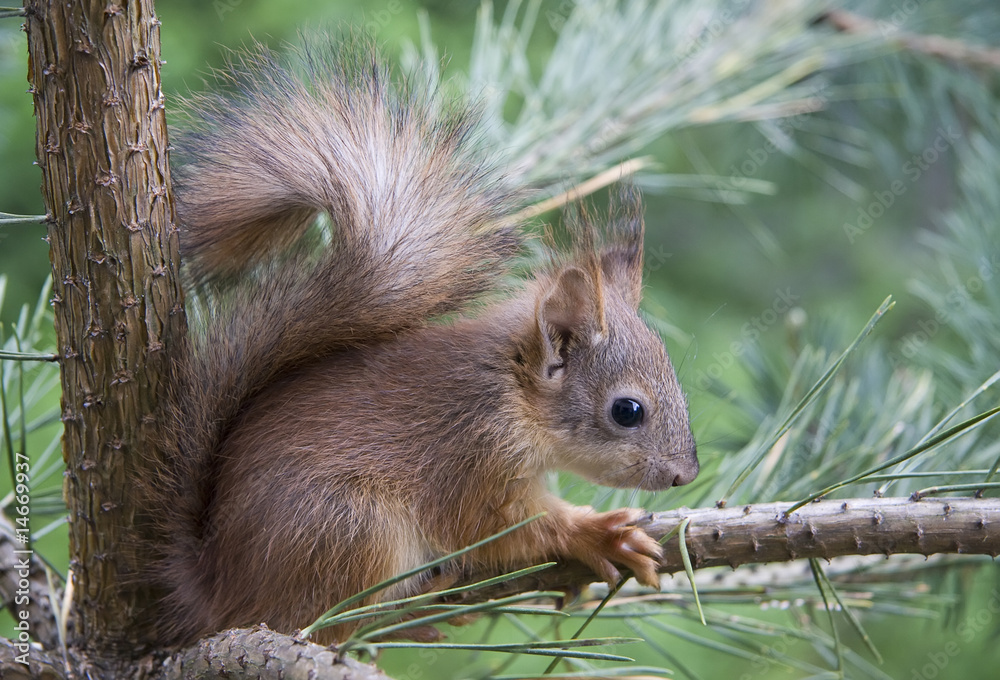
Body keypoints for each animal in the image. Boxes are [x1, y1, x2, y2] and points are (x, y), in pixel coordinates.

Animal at [151, 39, 699, 646]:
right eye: (628, 411)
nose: (685, 475)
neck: (509, 393)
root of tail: (218, 590)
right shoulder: (469, 459)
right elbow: (501, 528)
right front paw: (599, 533)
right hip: (350, 527)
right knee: (321, 622)